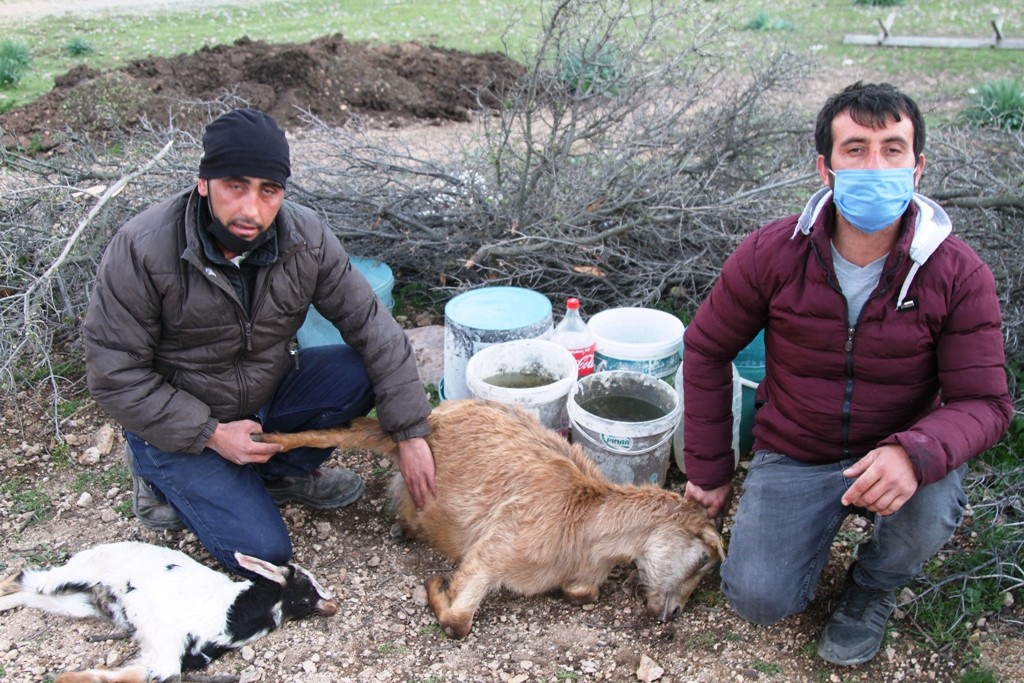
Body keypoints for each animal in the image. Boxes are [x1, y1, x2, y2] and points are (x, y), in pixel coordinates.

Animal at [258, 397, 720, 638]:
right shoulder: (496, 550)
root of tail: (431, 422)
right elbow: (458, 621)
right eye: (703, 558)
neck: (585, 523)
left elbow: (581, 594)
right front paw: (436, 585)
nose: (674, 613)